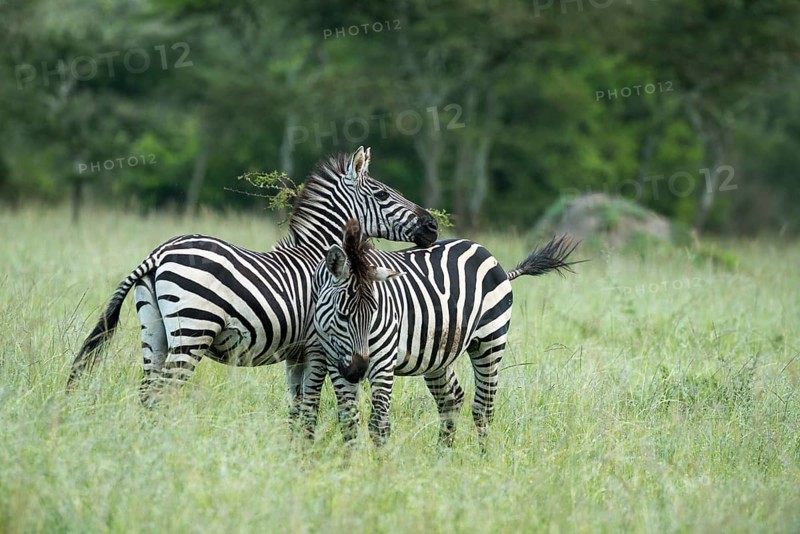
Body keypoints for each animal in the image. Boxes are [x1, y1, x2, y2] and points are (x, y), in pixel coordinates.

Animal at [67, 147, 439, 412]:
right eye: (383, 195)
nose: (433, 225)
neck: (317, 254)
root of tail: (158, 253)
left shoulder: (297, 353)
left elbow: (298, 404)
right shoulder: (319, 346)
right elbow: (312, 403)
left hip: (154, 330)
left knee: (147, 393)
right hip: (192, 330)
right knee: (165, 392)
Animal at [301, 219, 578, 445]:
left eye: (374, 313)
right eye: (342, 315)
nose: (357, 372)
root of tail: (485, 252)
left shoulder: (382, 360)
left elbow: (379, 424)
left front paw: (380, 469)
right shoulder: (334, 360)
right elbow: (348, 421)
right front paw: (349, 466)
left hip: (491, 342)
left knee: (483, 409)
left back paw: (482, 460)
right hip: (438, 354)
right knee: (451, 400)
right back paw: (442, 458)